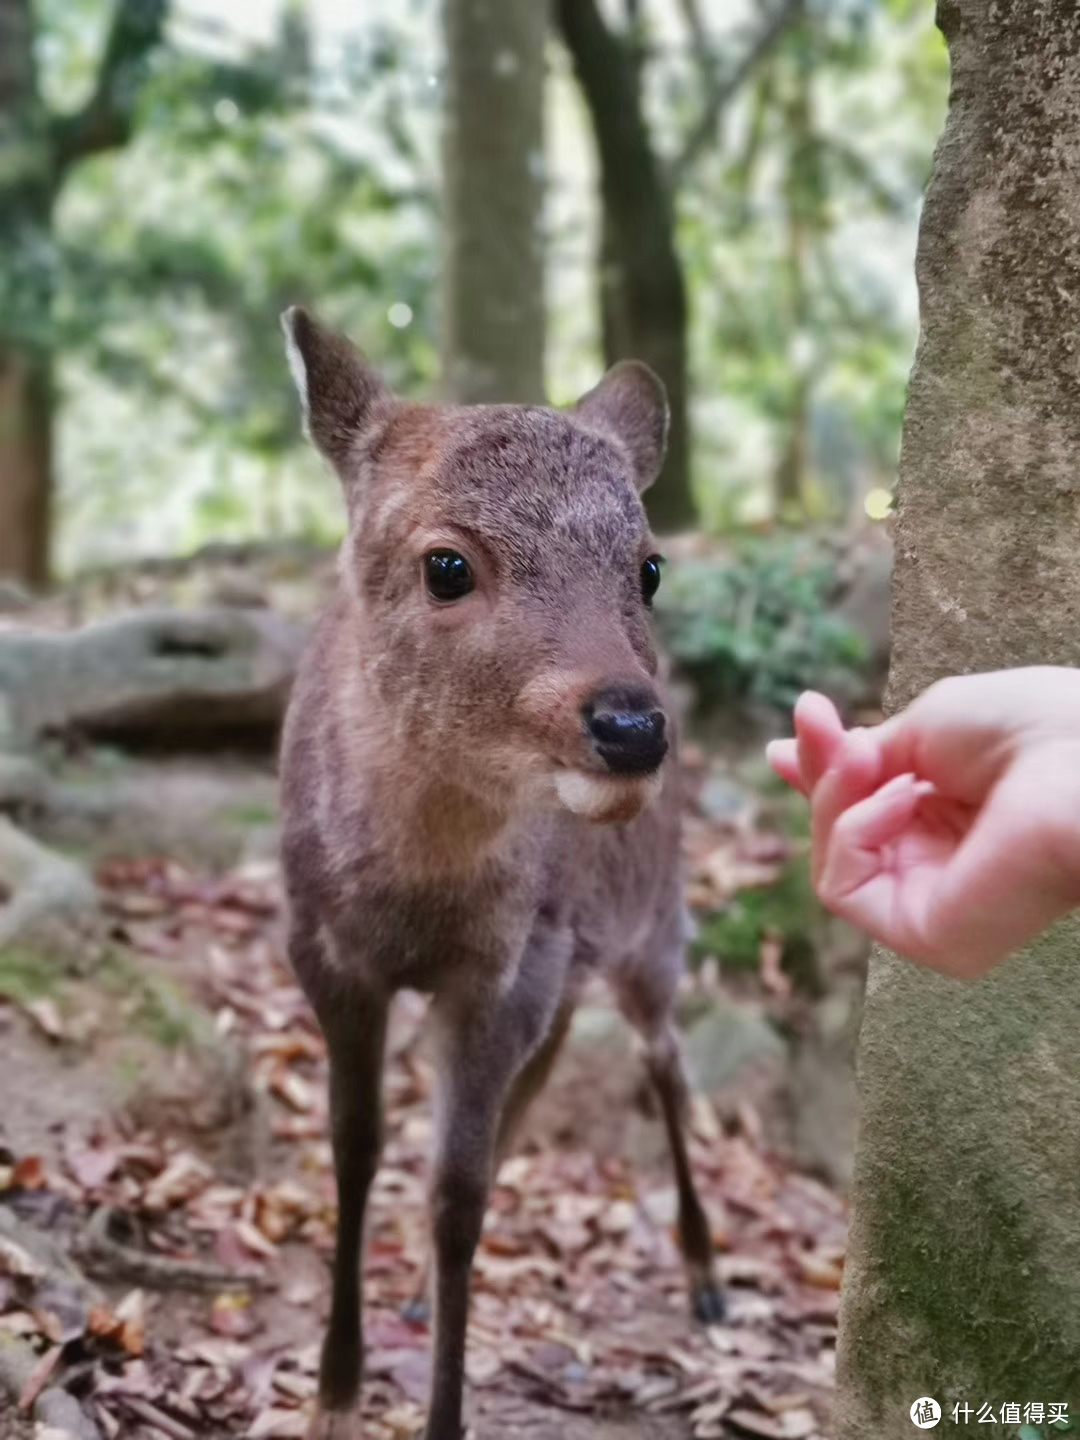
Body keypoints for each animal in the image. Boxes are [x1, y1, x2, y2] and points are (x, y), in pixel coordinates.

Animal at [276, 309, 728, 1440]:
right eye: (446, 564)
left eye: (648, 567)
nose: (630, 727)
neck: (417, 898)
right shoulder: (322, 948)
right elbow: (356, 1148)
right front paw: (334, 1392)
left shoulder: (508, 964)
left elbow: (458, 1197)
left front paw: (436, 1413)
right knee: (554, 1068)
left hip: (652, 923)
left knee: (663, 1058)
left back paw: (708, 1277)